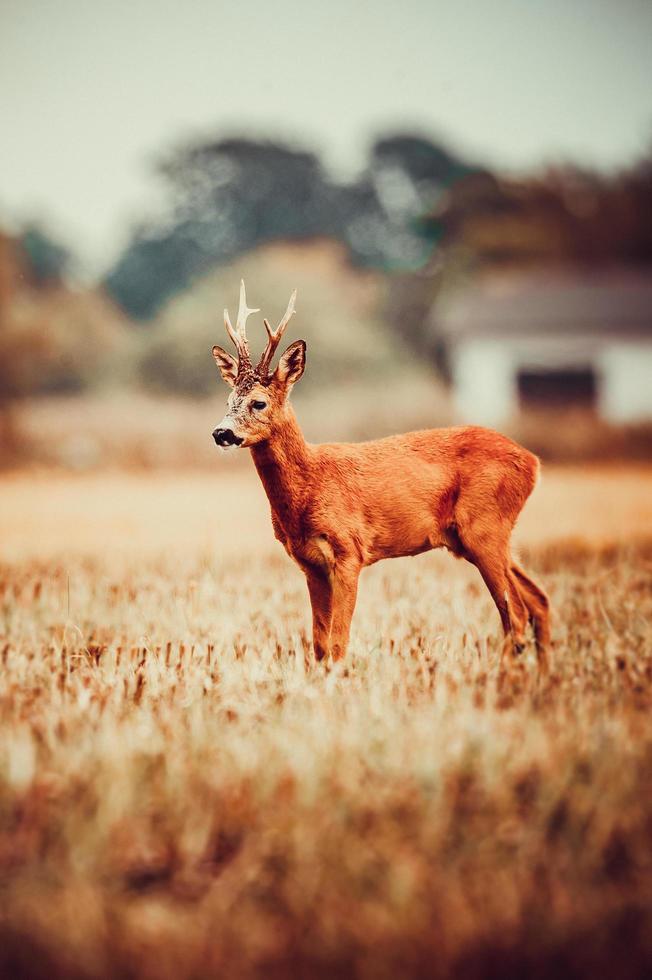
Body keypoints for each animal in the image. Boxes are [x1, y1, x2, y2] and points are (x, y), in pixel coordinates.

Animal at [213, 280, 552, 668]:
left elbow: (338, 642)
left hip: (486, 526)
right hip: (478, 536)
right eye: (228, 402)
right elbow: (318, 643)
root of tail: (533, 462)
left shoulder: (349, 550)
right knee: (539, 601)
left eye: (259, 402)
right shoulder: (310, 563)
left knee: (517, 614)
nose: (221, 433)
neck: (309, 486)